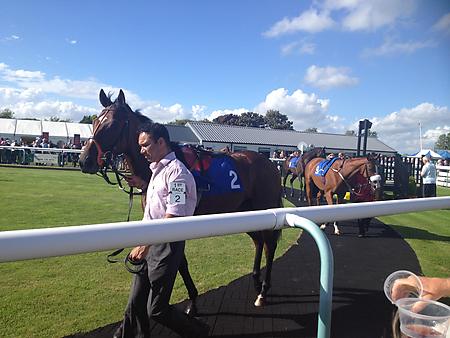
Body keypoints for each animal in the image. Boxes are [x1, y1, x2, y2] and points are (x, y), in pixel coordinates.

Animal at [78, 89, 282, 308]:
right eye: (95, 121)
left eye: (114, 124)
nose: (84, 160)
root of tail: (270, 164)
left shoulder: (177, 220)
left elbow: (180, 262)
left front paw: (192, 300)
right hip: (246, 211)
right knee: (259, 241)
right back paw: (256, 281)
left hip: (266, 208)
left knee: (270, 245)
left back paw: (263, 291)